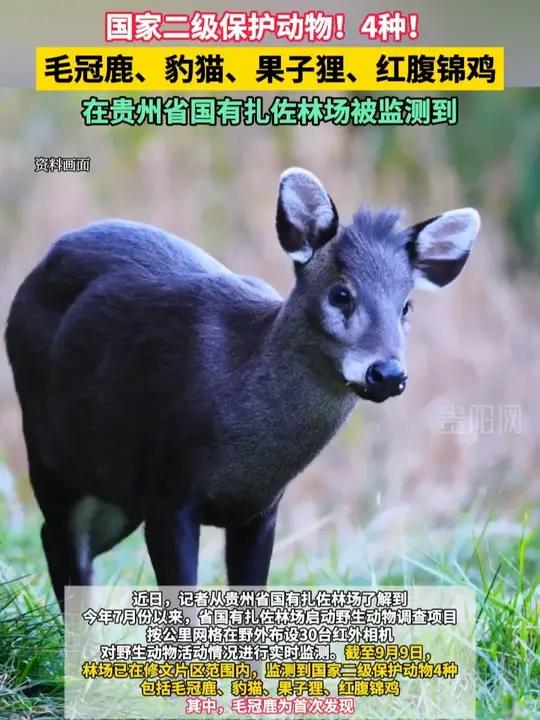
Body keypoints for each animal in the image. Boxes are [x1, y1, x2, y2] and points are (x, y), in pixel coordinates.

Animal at [5, 168, 480, 612]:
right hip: (49, 453)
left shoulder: (261, 510)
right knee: (59, 543)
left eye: (406, 306)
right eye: (341, 294)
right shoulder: (168, 492)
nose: (387, 373)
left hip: (113, 491)